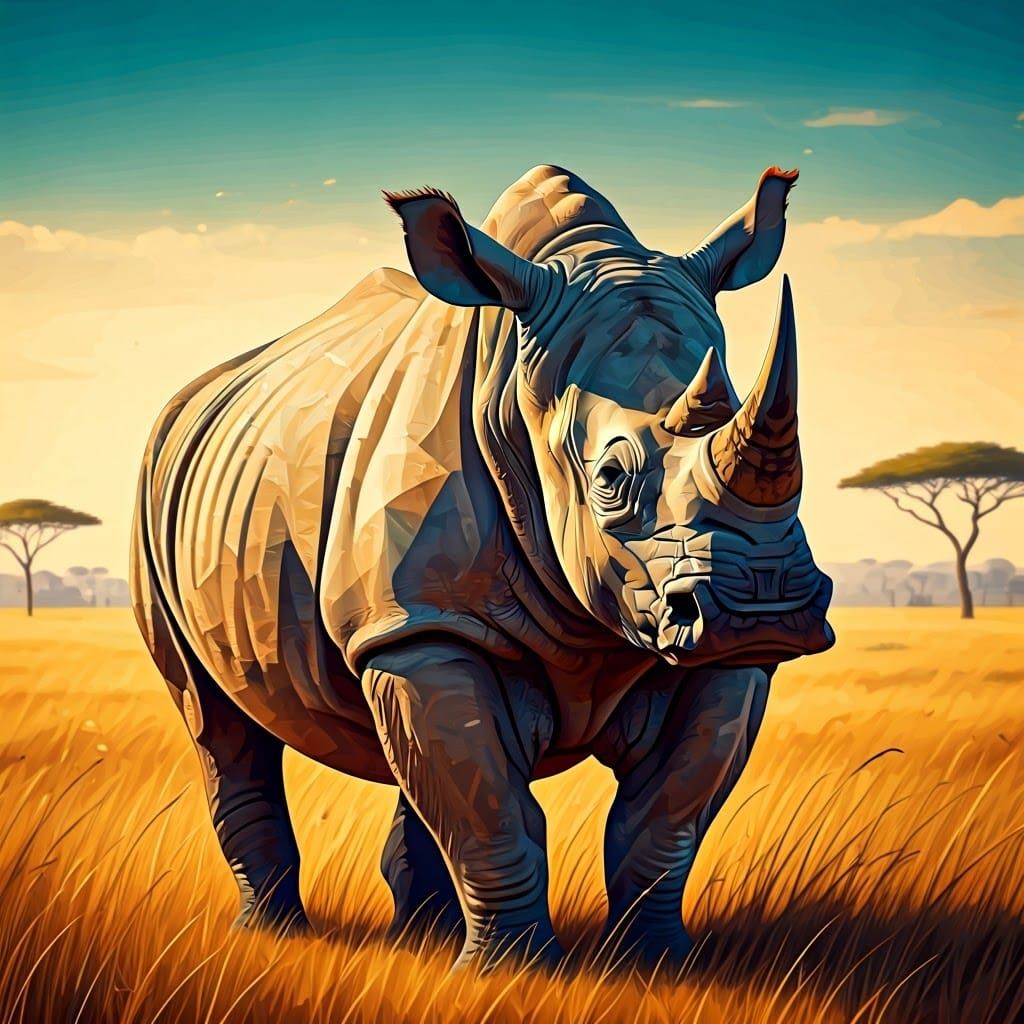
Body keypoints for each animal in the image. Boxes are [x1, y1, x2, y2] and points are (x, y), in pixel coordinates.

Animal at [130, 163, 834, 970]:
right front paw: (516, 973)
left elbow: (663, 825)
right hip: (156, 484)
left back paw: (422, 936)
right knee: (216, 723)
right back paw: (275, 936)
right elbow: (493, 815)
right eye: (610, 480)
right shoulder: (423, 625)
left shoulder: (716, 657)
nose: (764, 608)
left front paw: (659, 964)